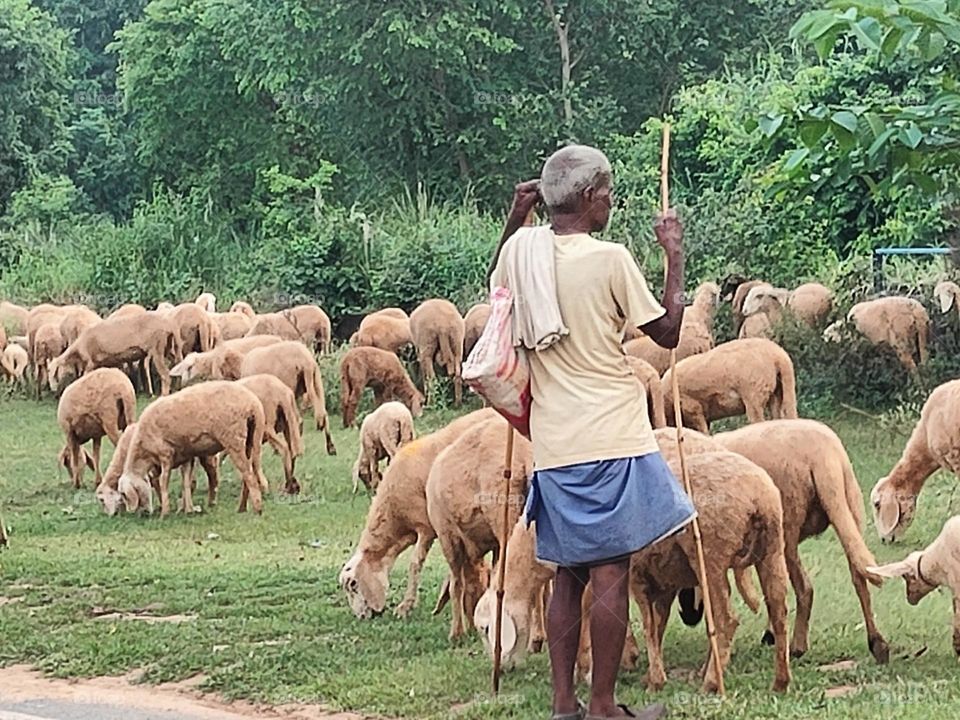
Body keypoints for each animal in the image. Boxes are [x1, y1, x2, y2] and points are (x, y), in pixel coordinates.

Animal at [49, 312, 182, 397]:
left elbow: (84, 378)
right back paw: (178, 388)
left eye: (51, 371)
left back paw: (163, 395)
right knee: (177, 363)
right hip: (168, 347)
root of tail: (169, 325)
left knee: (165, 374)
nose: (53, 389)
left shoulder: (90, 362)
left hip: (157, 347)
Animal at [118, 381, 268, 517]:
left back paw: (257, 509)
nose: (130, 512)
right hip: (252, 439)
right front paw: (188, 510)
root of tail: (252, 404)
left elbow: (163, 482)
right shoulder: (186, 456)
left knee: (248, 475)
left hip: (234, 439)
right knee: (248, 474)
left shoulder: (166, 454)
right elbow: (186, 482)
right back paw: (242, 508)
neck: (144, 452)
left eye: (124, 495)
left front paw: (165, 513)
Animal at [426, 416, 533, 640]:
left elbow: (456, 585)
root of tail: (523, 456)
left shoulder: (447, 535)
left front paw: (456, 633)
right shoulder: (493, 545)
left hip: (504, 515)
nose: (478, 626)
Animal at [630, 446, 791, 693]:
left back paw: (711, 682)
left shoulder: (636, 576)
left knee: (726, 618)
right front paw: (651, 676)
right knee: (778, 608)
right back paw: (780, 683)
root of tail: (757, 497)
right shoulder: (662, 584)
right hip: (772, 548)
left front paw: (655, 681)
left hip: (709, 554)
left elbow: (648, 626)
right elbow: (658, 625)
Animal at [716, 420, 889, 663]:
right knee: (859, 576)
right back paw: (877, 643)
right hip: (849, 509)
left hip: (787, 525)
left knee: (804, 588)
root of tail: (824, 455)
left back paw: (796, 646)